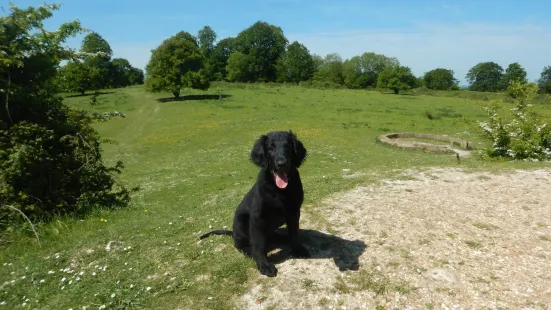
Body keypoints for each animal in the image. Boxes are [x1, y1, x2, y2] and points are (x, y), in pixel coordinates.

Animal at [199, 130, 310, 278]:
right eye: (270, 149)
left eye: (288, 147)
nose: (282, 163)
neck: (278, 189)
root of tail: (233, 233)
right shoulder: (258, 218)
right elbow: (259, 244)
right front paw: (264, 265)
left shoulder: (294, 213)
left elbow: (294, 234)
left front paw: (297, 248)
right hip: (242, 221)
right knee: (243, 245)